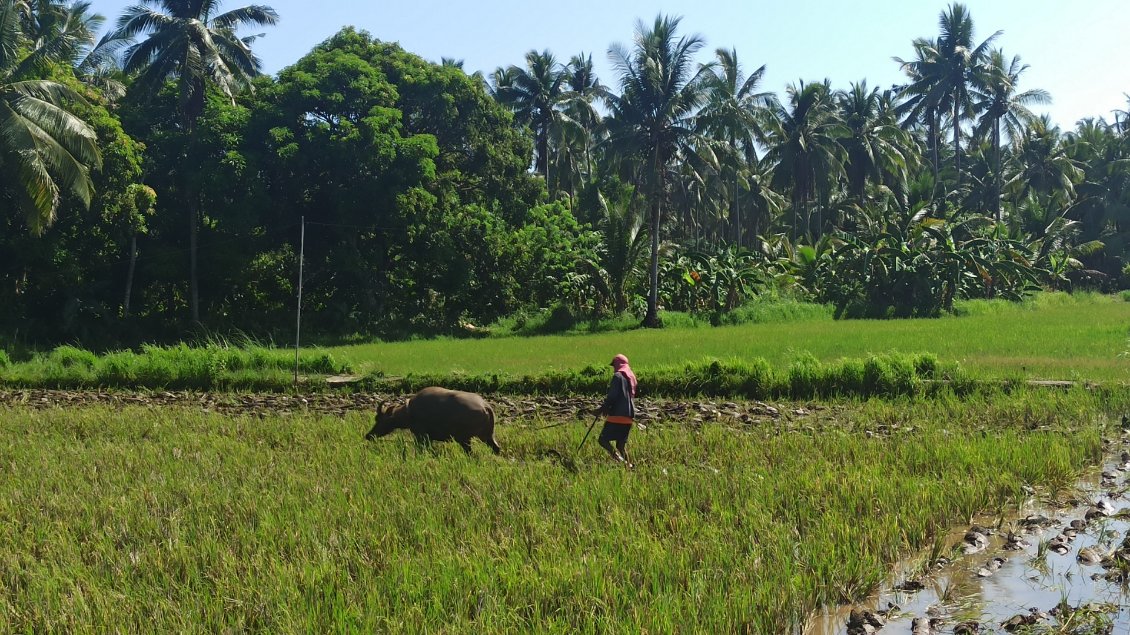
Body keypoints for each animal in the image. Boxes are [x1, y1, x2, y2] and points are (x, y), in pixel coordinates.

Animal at [363, 384, 501, 451]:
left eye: (380, 419)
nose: (368, 435)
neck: (409, 412)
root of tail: (485, 406)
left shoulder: (422, 437)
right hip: (488, 436)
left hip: (466, 439)